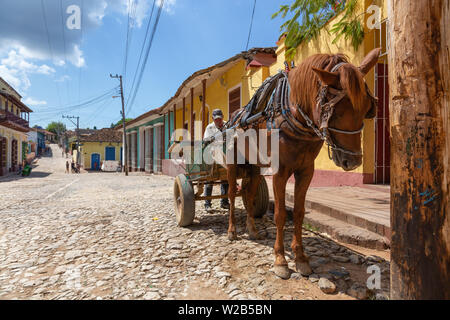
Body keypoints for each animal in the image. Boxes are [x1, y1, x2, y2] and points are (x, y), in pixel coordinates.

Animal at [225, 48, 380, 280]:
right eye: (335, 111)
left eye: (367, 109)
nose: (352, 161)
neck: (293, 114)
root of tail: (234, 118)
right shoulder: (280, 171)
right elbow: (280, 214)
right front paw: (280, 259)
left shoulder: (306, 171)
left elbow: (298, 212)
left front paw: (300, 258)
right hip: (233, 164)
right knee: (232, 196)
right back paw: (232, 230)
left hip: (254, 165)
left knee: (249, 194)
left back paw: (252, 229)